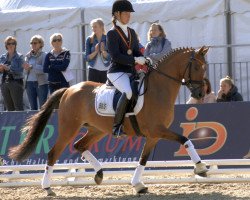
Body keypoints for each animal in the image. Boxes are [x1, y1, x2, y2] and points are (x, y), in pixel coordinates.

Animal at [8, 46, 209, 196]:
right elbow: (185, 139)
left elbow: (143, 159)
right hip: (69, 127)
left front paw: (138, 184)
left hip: (97, 129)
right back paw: (48, 188)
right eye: (197, 68)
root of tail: (68, 90)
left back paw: (99, 173)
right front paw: (200, 168)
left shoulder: (154, 136)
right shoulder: (157, 130)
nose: (200, 94)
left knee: (80, 145)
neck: (158, 89)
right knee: (53, 153)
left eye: (205, 67)